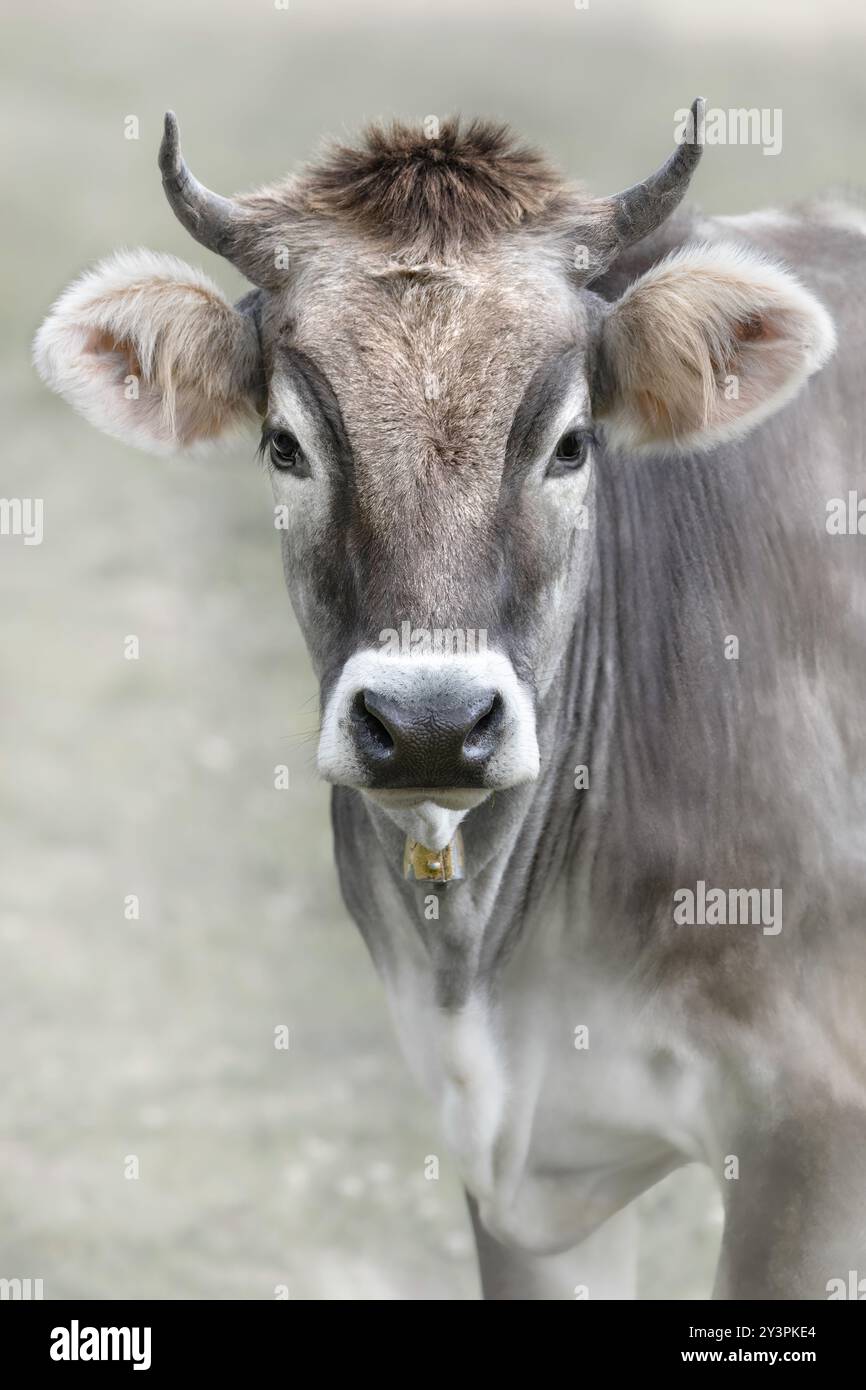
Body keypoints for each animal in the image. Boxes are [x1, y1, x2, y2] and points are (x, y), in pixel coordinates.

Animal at [33, 100, 866, 1301]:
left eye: (571, 443)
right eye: (285, 444)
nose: (428, 724)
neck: (493, 968)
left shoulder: (813, 1123)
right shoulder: (522, 1168)